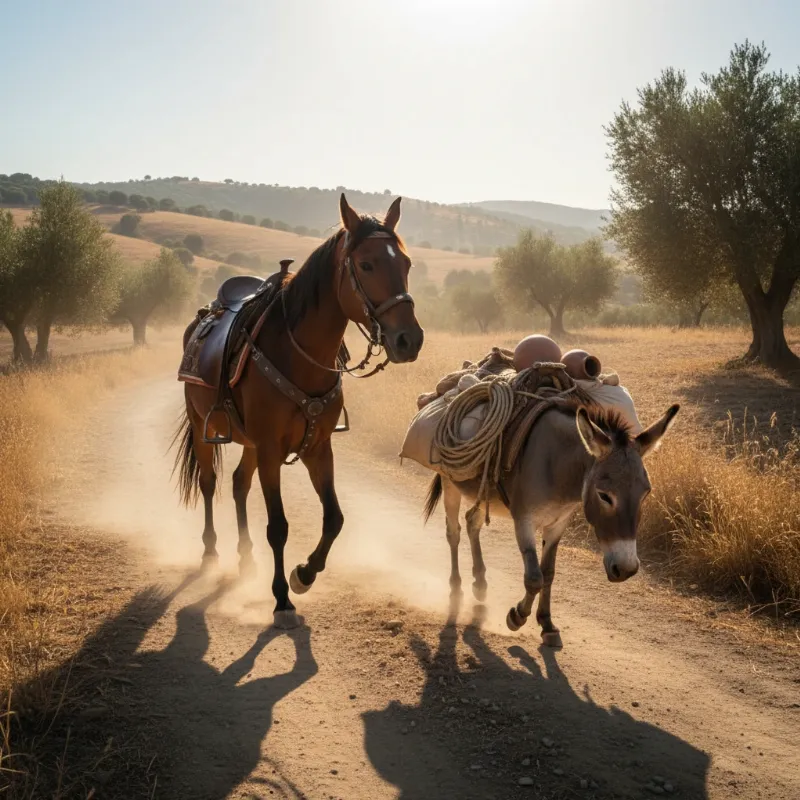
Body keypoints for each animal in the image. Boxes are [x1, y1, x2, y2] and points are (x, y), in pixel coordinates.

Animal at [173, 194, 424, 628]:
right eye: (366, 264)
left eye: (406, 264)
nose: (409, 339)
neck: (298, 353)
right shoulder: (271, 449)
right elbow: (278, 526)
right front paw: (281, 598)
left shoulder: (317, 448)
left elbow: (334, 518)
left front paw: (304, 574)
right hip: (203, 424)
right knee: (209, 483)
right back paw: (211, 552)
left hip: (250, 443)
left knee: (238, 484)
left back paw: (245, 557)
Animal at [423, 401, 679, 647]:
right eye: (604, 496)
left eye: (646, 494)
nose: (626, 569)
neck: (557, 467)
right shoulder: (524, 520)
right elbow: (534, 577)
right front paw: (517, 616)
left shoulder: (558, 524)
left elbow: (548, 573)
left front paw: (547, 624)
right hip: (450, 482)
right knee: (453, 532)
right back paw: (456, 588)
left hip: (484, 493)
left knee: (471, 522)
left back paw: (480, 583)